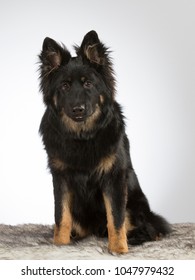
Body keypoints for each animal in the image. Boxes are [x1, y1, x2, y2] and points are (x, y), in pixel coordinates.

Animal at [38, 30, 171, 254]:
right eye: (64, 86)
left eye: (88, 84)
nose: (78, 109)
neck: (82, 136)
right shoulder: (61, 178)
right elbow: (61, 216)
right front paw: (60, 245)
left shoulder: (114, 178)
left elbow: (115, 219)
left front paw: (118, 249)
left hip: (135, 204)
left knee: (151, 229)